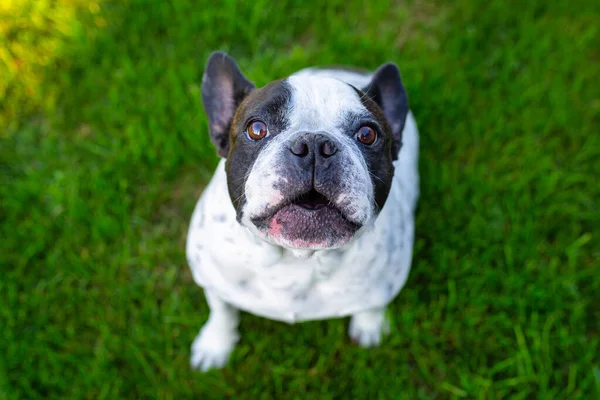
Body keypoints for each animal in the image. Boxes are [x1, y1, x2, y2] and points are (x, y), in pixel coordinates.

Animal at [185, 51, 420, 370]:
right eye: (256, 129)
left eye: (367, 134)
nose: (314, 144)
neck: (298, 258)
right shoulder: (212, 278)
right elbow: (221, 310)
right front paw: (215, 345)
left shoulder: (386, 282)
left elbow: (373, 304)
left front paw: (369, 327)